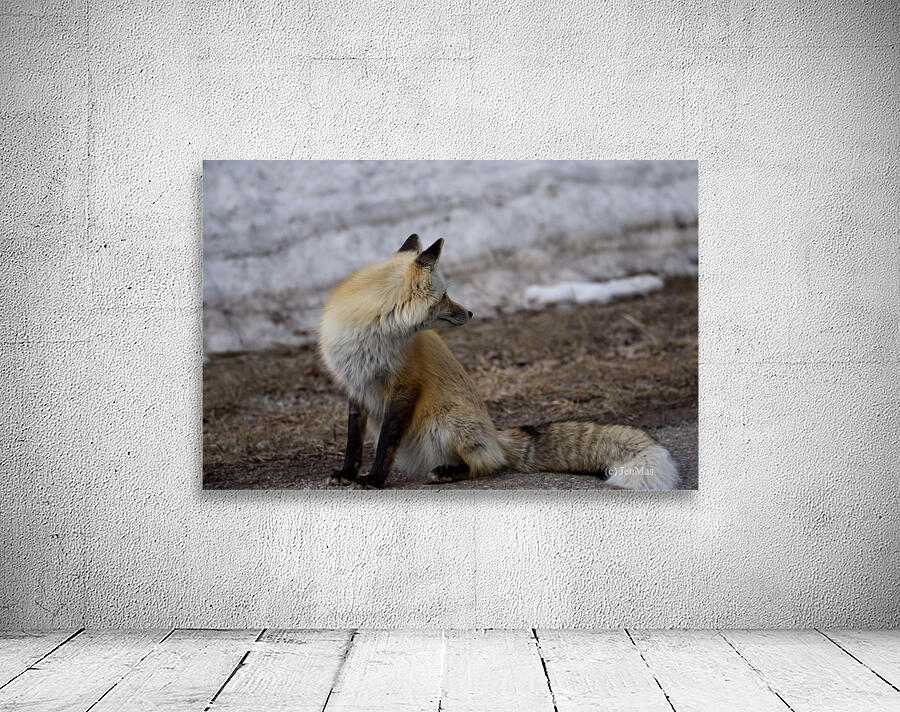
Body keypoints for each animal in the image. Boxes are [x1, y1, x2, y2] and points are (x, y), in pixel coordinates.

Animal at [317, 234, 679, 490]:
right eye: (445, 296)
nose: (471, 313)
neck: (370, 335)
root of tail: (496, 435)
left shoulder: (403, 386)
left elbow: (385, 443)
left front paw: (375, 479)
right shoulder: (355, 384)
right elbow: (354, 442)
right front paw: (347, 474)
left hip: (448, 422)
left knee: (488, 465)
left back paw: (449, 471)